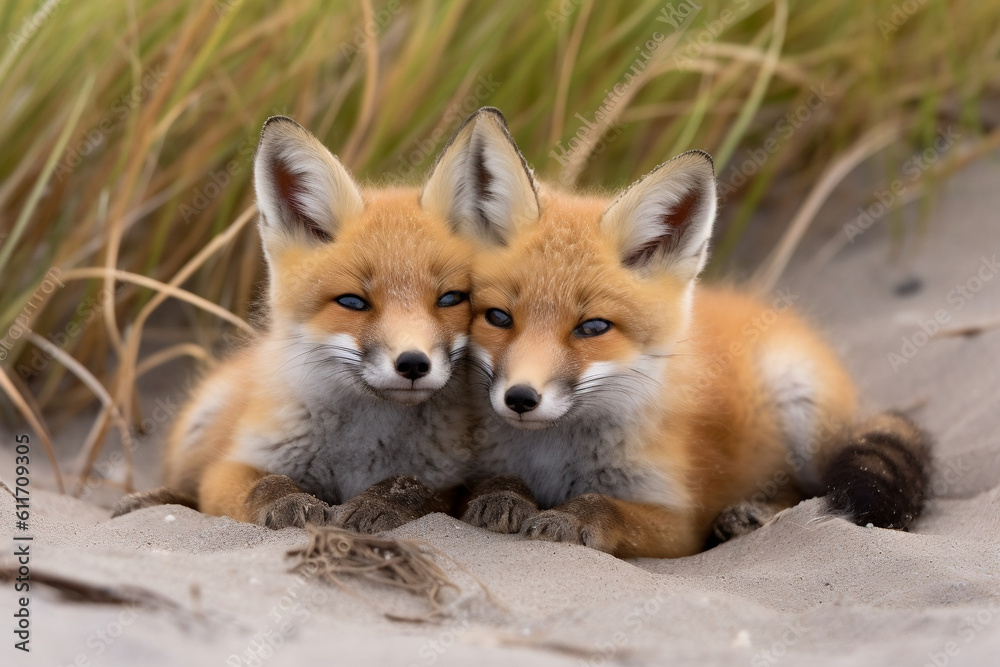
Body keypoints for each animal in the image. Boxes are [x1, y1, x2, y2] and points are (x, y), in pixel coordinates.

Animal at [114, 109, 520, 531]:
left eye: (450, 298)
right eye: (353, 302)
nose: (413, 364)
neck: (361, 449)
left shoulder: (451, 481)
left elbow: (410, 486)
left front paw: (378, 504)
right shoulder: (231, 466)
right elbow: (263, 484)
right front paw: (288, 502)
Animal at [455, 112, 930, 558]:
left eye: (592, 327)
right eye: (498, 317)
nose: (520, 398)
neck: (552, 459)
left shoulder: (679, 524)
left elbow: (606, 506)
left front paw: (570, 518)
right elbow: (486, 484)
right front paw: (503, 495)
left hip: (801, 402)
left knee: (808, 493)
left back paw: (751, 513)